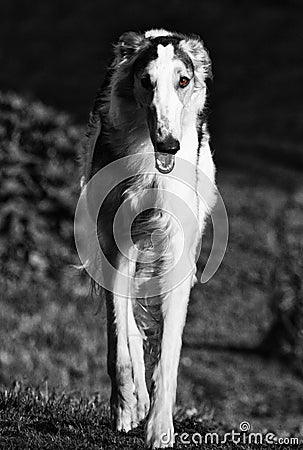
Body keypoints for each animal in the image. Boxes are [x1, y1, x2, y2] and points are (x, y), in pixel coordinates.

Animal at [78, 29, 216, 448]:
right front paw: (124, 407)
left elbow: (168, 354)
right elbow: (118, 343)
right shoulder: (114, 241)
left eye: (183, 81)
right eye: (146, 81)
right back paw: (134, 399)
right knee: (128, 328)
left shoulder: (177, 254)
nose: (169, 145)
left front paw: (160, 428)